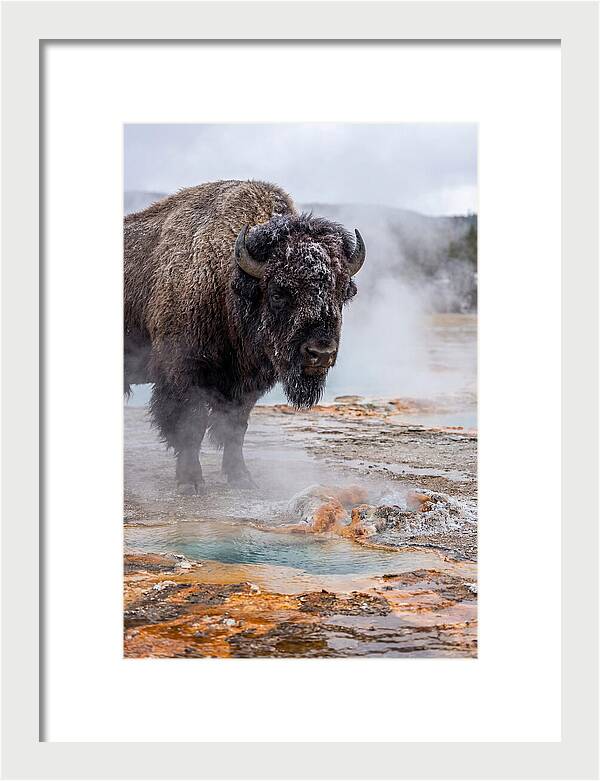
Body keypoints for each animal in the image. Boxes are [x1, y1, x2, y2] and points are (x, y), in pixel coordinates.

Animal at [124, 180, 365, 492]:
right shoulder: (183, 375)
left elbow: (235, 428)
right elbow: (191, 426)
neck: (227, 281)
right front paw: (191, 482)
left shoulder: (246, 385)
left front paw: (241, 477)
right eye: (278, 293)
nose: (320, 353)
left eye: (340, 292)